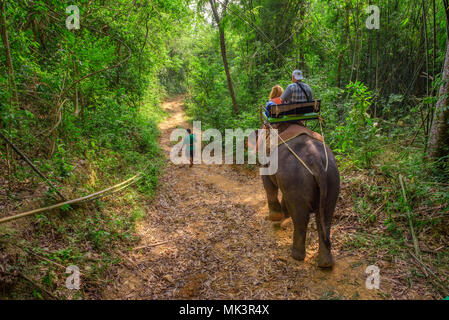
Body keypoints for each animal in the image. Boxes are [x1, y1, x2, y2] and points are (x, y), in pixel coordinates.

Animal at [260, 132, 340, 268]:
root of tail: (316, 161)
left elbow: (268, 183)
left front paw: (274, 218)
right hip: (332, 178)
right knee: (325, 218)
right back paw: (325, 263)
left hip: (297, 179)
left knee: (300, 217)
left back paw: (296, 256)